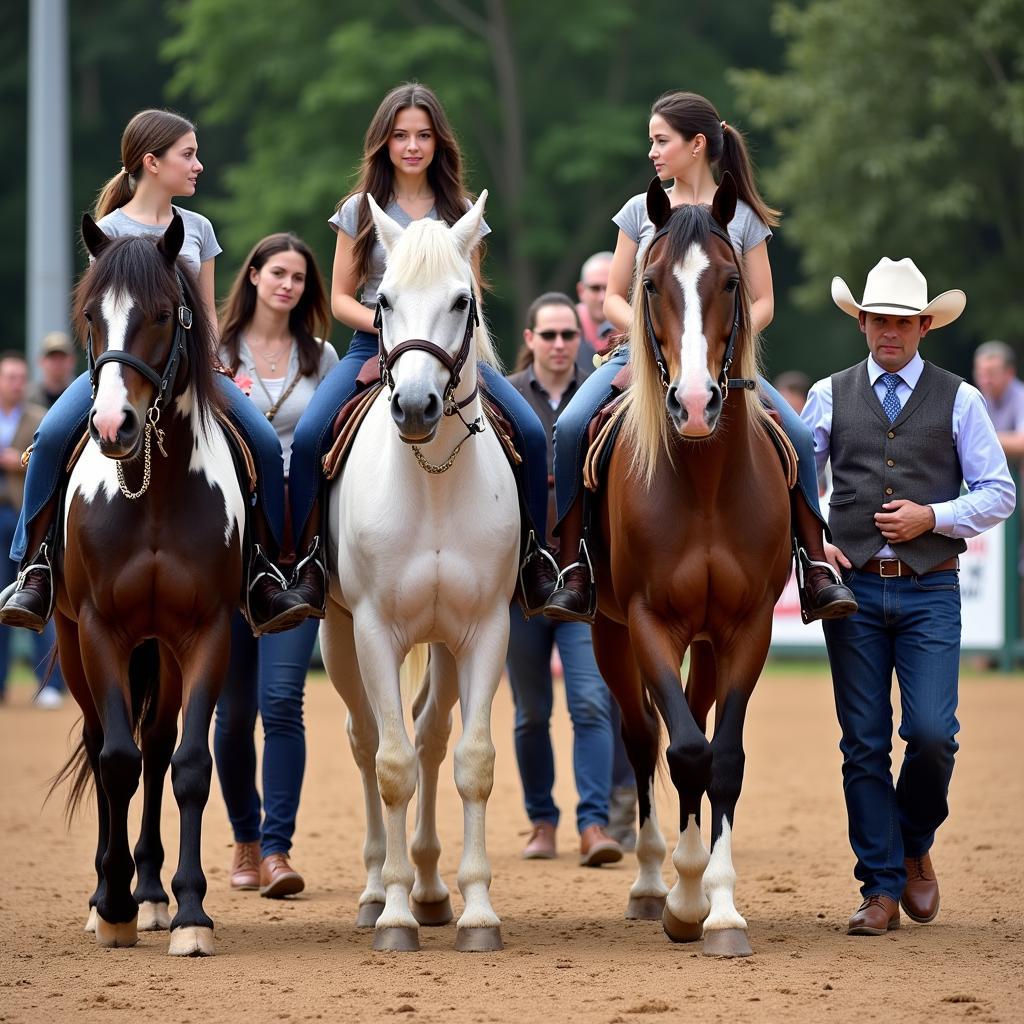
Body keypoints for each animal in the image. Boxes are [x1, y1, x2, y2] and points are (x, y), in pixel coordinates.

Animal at [55, 211, 246, 954]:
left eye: (163, 314)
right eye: (90, 316)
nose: (113, 425)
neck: (155, 495)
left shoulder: (209, 632)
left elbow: (189, 765)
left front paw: (190, 911)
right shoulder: (99, 629)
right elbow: (114, 759)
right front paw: (111, 908)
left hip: (163, 649)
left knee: (160, 750)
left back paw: (155, 893)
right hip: (73, 642)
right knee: (103, 744)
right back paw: (106, 897)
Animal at [319, 192, 520, 950]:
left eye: (463, 300)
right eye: (383, 299)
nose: (413, 405)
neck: (433, 483)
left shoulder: (487, 630)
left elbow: (472, 761)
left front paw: (478, 911)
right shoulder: (374, 631)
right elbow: (392, 765)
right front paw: (396, 915)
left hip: (443, 643)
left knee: (432, 735)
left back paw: (434, 888)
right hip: (337, 637)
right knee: (368, 741)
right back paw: (381, 889)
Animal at [593, 178, 790, 958]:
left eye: (731, 280)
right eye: (650, 283)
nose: (698, 402)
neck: (704, 484)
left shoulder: (748, 627)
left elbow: (723, 756)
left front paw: (723, 908)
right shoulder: (648, 620)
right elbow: (679, 750)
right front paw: (681, 899)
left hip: (706, 641)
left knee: (698, 723)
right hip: (608, 632)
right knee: (643, 736)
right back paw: (652, 882)